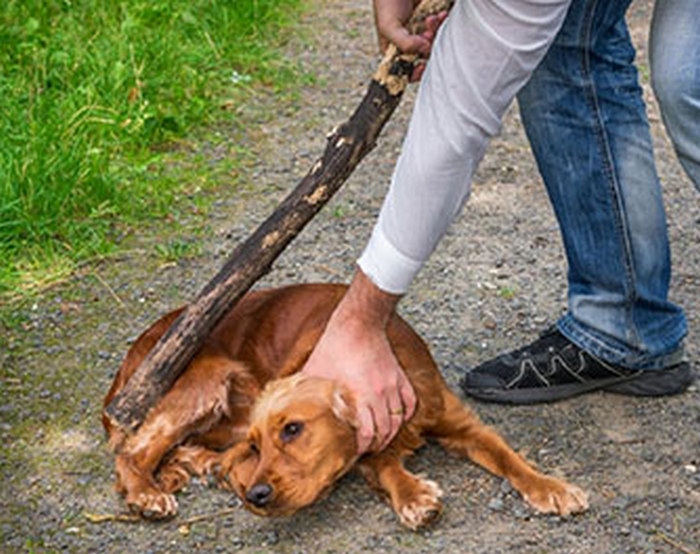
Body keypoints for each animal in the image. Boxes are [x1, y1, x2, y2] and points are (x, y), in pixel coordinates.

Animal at [102, 284, 584, 528]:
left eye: (292, 429)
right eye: (260, 445)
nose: (257, 496)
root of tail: (128, 361)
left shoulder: (462, 423)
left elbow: (509, 458)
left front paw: (552, 487)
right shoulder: (368, 447)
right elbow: (386, 466)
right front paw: (414, 497)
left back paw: (188, 470)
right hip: (208, 378)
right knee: (132, 449)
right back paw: (147, 492)